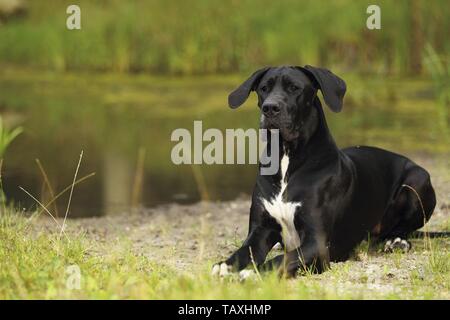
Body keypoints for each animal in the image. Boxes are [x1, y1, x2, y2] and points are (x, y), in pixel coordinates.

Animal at [213, 65, 438, 278]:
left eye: (294, 88)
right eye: (263, 88)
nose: (270, 108)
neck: (286, 157)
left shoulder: (317, 244)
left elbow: (282, 259)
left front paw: (254, 273)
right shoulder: (261, 230)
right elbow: (244, 251)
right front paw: (226, 265)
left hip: (418, 180)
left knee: (405, 227)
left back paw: (397, 240)